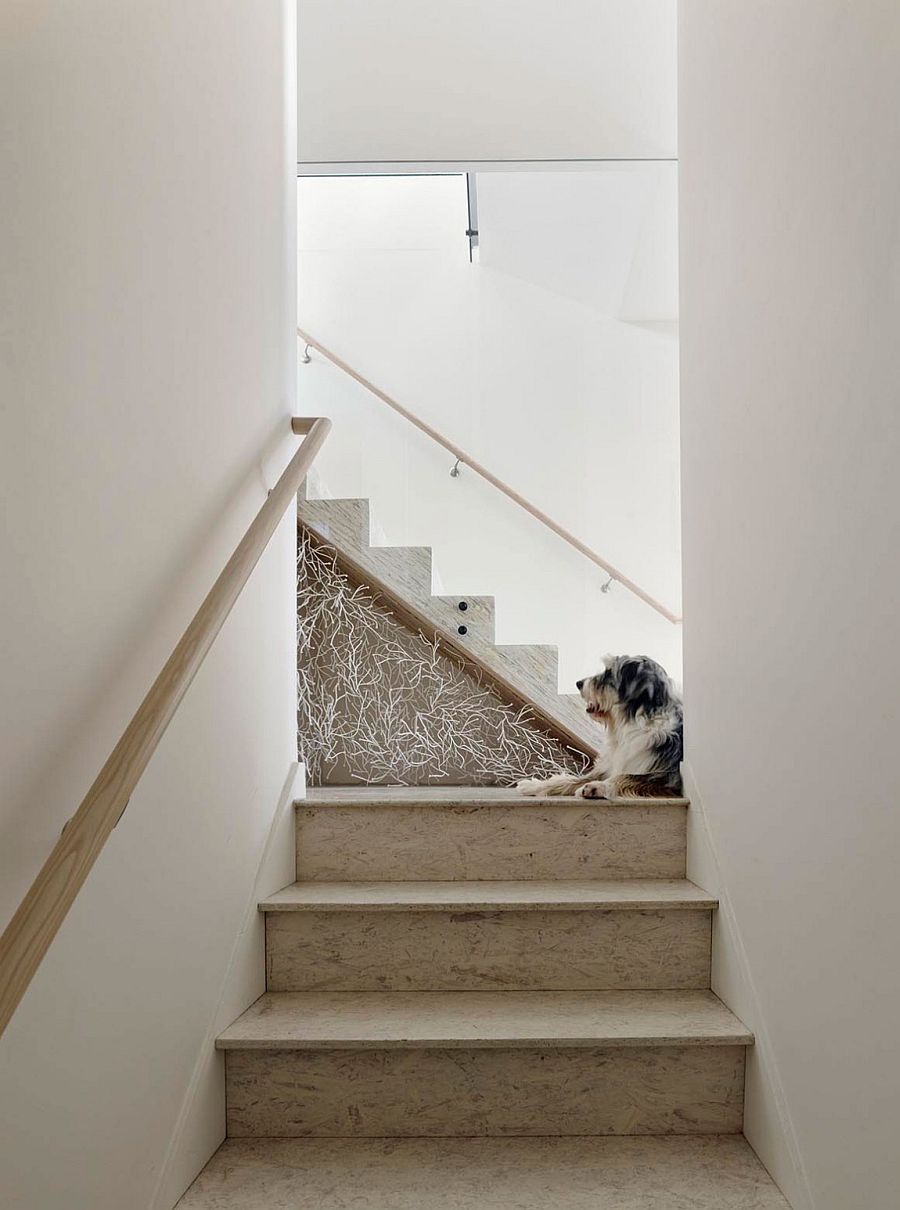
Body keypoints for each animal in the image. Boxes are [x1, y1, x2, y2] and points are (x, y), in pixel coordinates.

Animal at [520, 658, 682, 798]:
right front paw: (535, 786)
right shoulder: (610, 764)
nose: (579, 683)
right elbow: (577, 779)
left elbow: (625, 777)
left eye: (609, 674)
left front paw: (599, 787)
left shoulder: (668, 779)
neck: (634, 720)